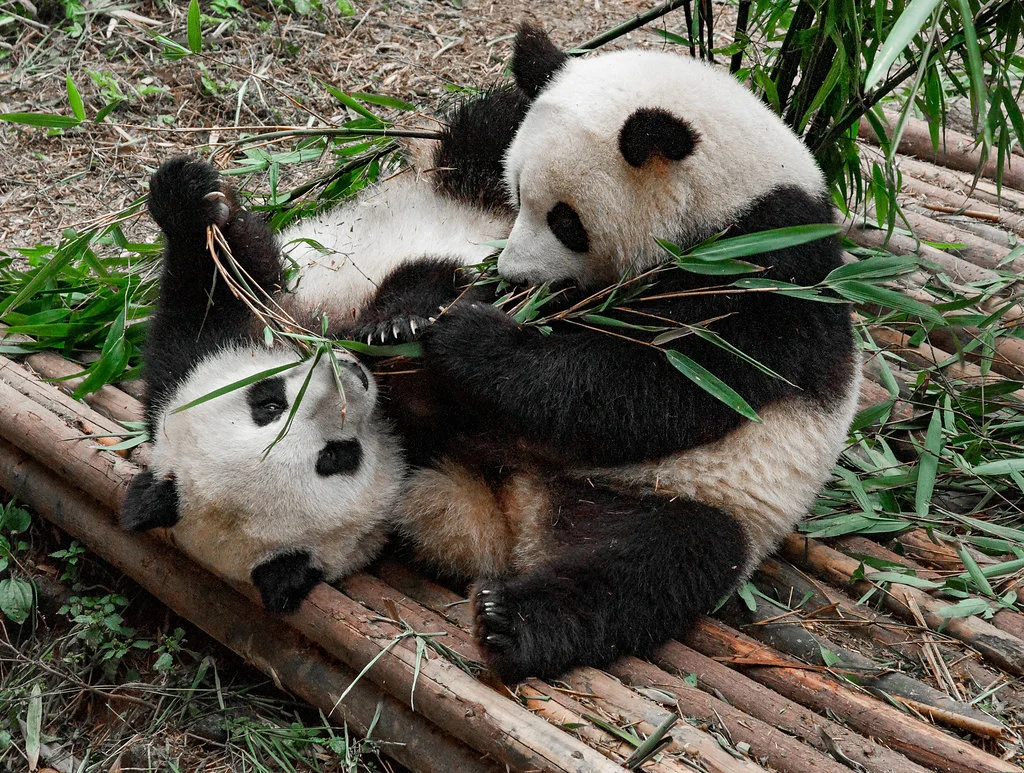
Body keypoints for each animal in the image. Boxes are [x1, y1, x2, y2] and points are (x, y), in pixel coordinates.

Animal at [119, 87, 527, 613]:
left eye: (266, 403)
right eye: (336, 457)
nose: (344, 373)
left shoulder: (191, 362)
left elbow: (217, 284)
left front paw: (186, 198)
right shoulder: (435, 449)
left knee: (489, 135)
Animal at [358, 24, 862, 682]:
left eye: (566, 221)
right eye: (513, 191)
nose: (517, 274)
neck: (734, 196)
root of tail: (513, 522)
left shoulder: (770, 274)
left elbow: (658, 383)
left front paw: (473, 339)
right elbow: (473, 286)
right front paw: (410, 321)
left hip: (691, 502)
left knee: (647, 570)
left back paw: (510, 622)